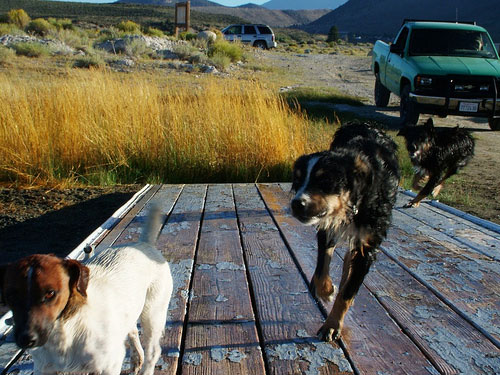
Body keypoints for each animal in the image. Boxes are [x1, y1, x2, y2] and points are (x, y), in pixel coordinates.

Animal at [0, 207, 173, 374]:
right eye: (10, 296)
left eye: (50, 293)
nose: (26, 339)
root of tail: (144, 244)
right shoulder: (44, 368)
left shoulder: (110, 365)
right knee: (133, 331)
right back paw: (136, 358)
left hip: (152, 314)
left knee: (153, 351)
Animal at [290, 122, 398, 342]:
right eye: (298, 180)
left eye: (325, 181)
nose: (296, 204)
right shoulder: (327, 229)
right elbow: (321, 271)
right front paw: (327, 291)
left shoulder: (368, 245)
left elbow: (347, 293)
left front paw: (332, 324)